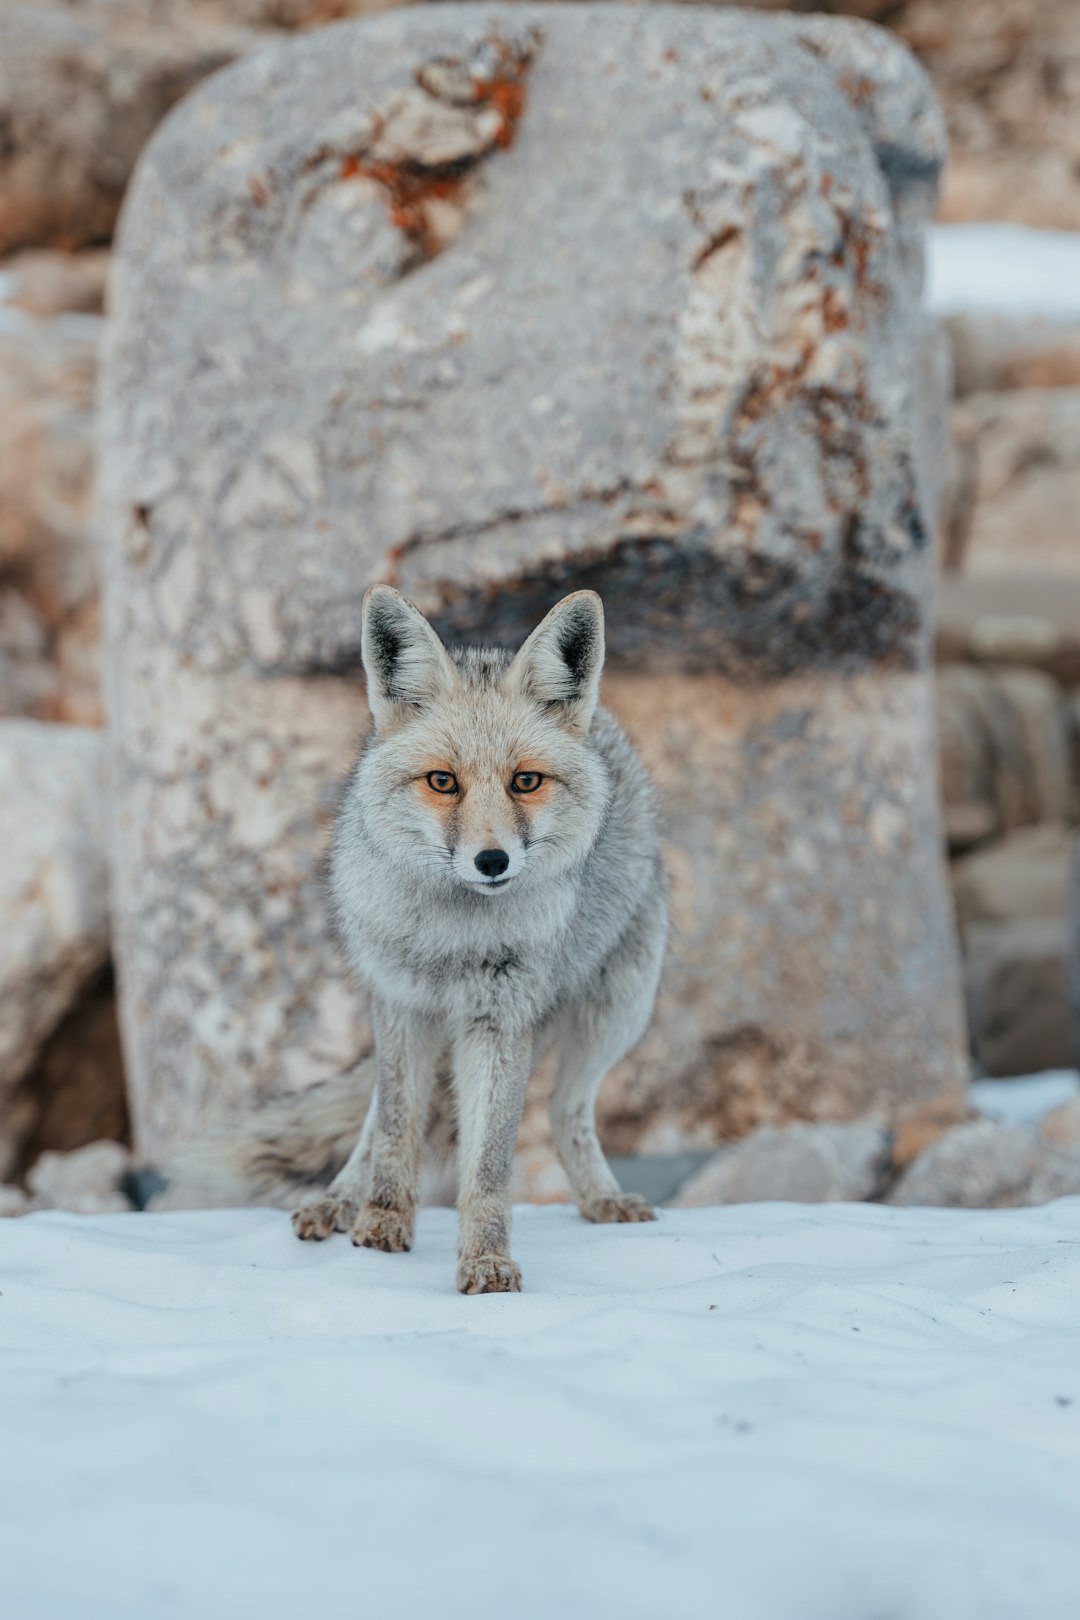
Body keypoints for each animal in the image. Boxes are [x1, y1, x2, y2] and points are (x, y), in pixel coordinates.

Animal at [180, 586, 668, 1293]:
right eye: (443, 782)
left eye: (525, 781)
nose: (492, 861)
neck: (451, 943)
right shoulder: (402, 1005)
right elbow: (392, 1131)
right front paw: (381, 1224)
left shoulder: (500, 1019)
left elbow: (487, 1166)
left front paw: (485, 1259)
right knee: (372, 1120)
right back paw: (338, 1201)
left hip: (616, 1014)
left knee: (563, 1112)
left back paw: (603, 1198)